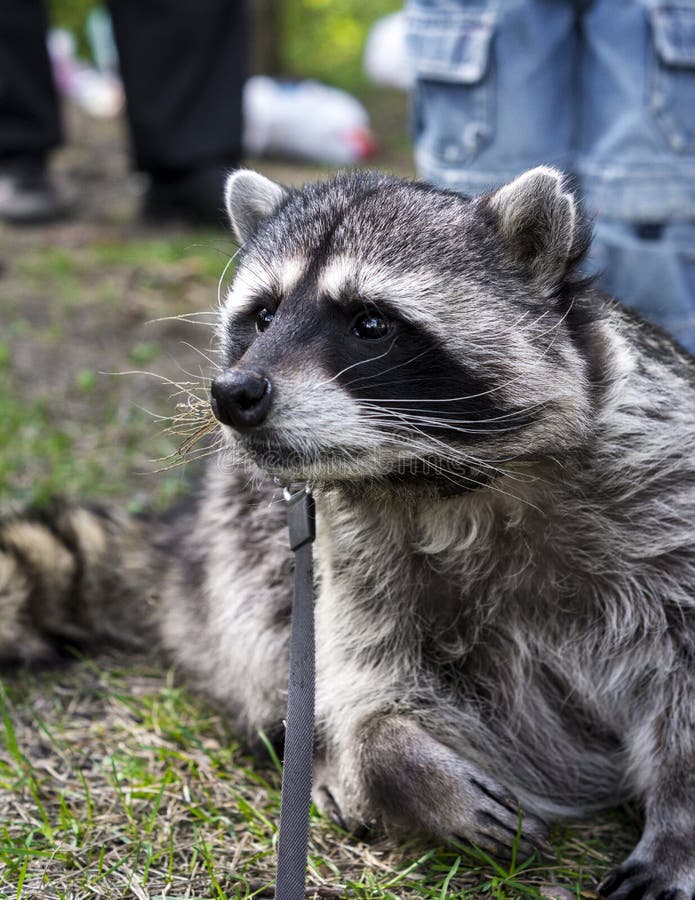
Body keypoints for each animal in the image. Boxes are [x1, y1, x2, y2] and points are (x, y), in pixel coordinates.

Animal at [2, 166, 694, 900]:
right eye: (264, 315)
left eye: (370, 323)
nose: (233, 394)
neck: (433, 478)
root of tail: (185, 535)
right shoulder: (354, 554)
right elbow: (365, 684)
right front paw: (393, 759)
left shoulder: (661, 502)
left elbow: (681, 678)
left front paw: (677, 826)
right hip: (237, 548)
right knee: (266, 635)